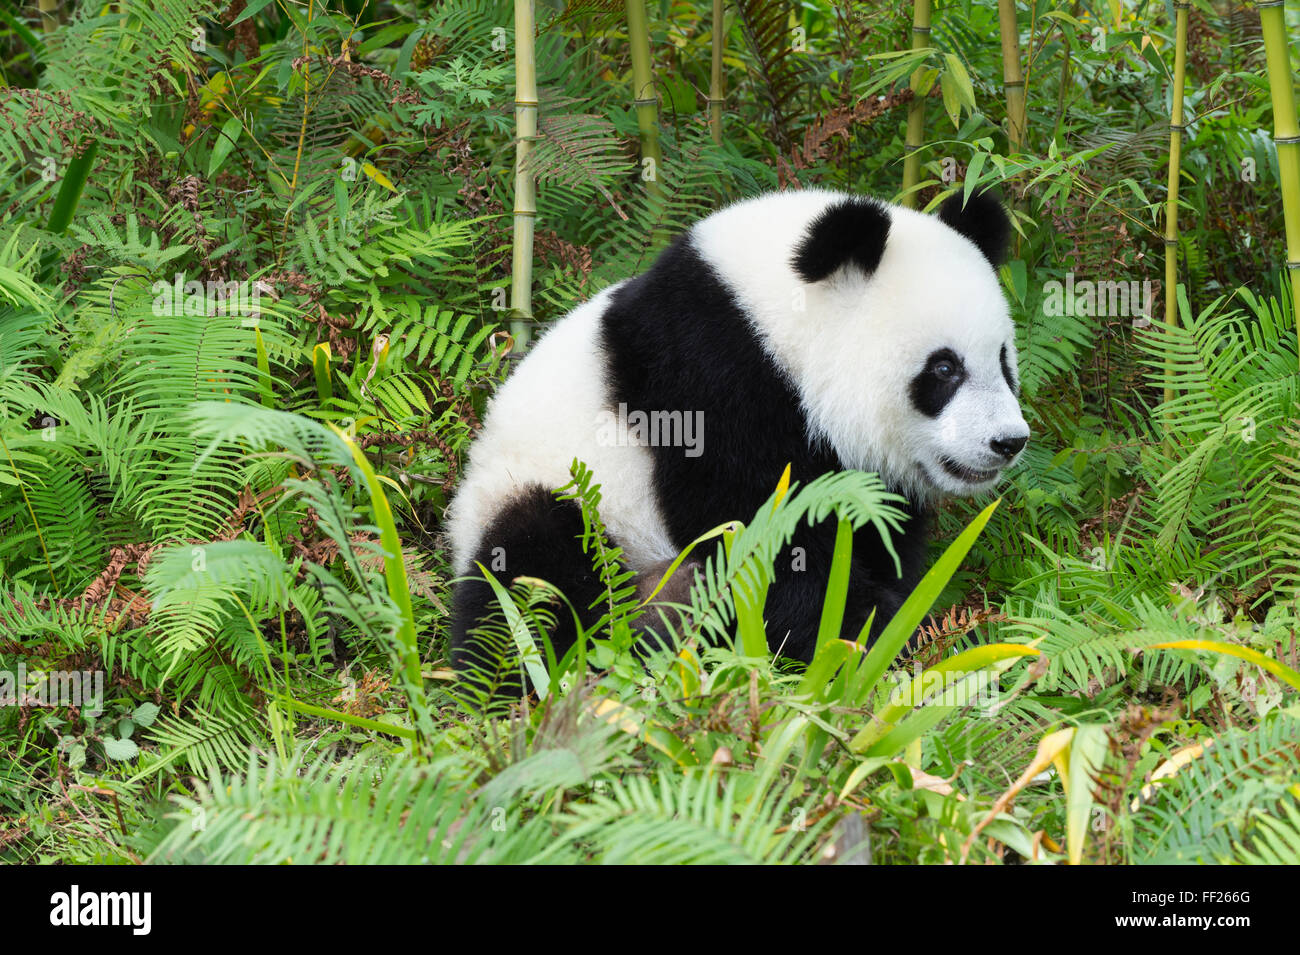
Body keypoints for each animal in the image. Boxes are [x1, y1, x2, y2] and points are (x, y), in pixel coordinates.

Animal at [445, 188, 1028, 676]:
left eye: (1003, 361)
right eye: (945, 369)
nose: (1008, 441)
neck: (772, 317)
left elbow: (876, 532)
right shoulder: (708, 377)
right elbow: (758, 529)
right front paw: (867, 636)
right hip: (551, 495)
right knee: (533, 570)